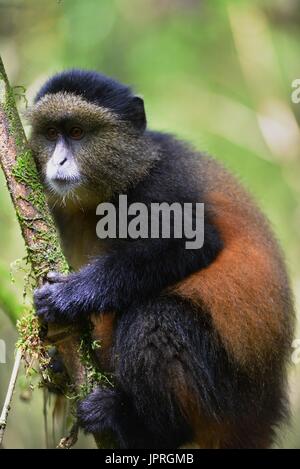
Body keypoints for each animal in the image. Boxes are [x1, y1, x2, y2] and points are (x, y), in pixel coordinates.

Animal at [28, 68, 296, 446]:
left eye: (77, 132)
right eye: (52, 134)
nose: (60, 160)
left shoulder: (159, 187)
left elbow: (194, 242)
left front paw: (70, 296)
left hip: (224, 401)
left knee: (155, 319)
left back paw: (140, 428)